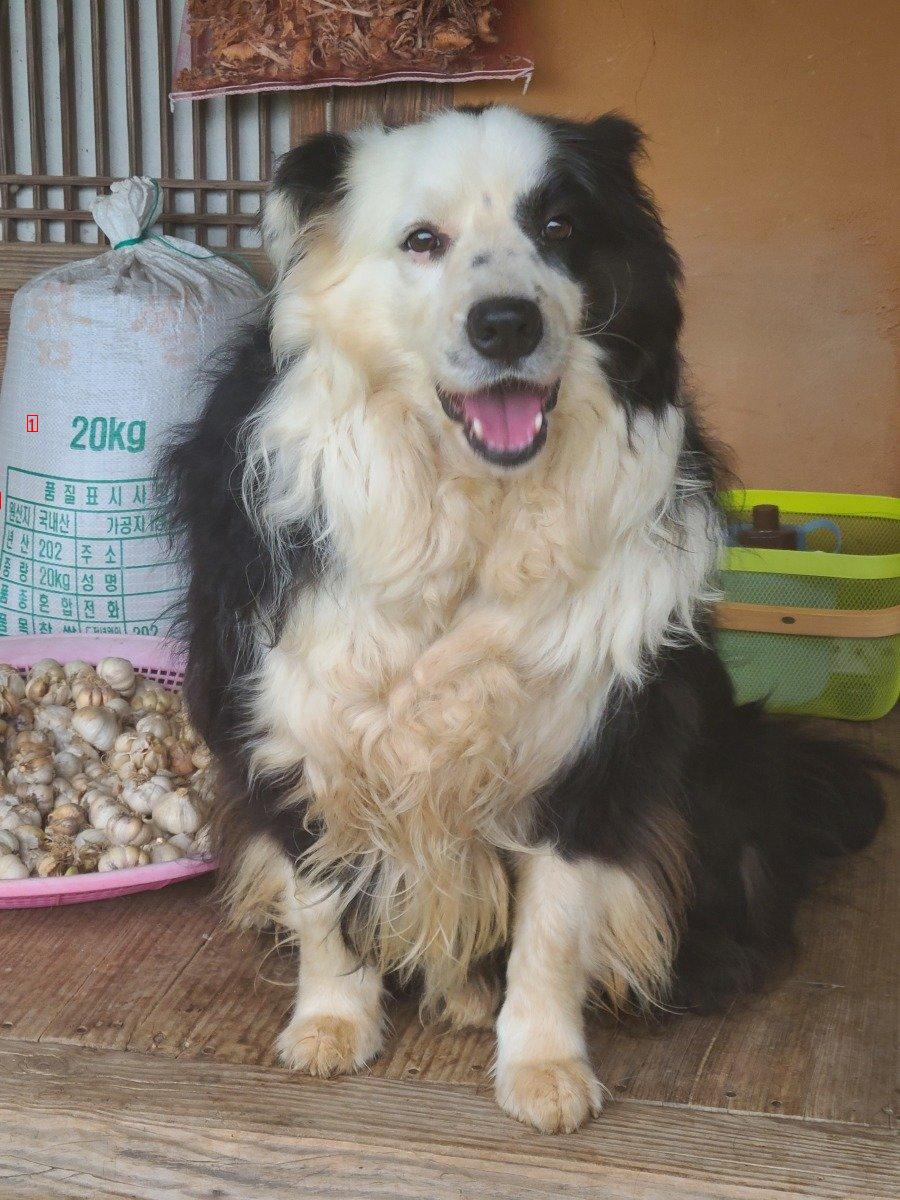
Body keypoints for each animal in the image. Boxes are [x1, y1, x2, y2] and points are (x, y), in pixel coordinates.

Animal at [164, 105, 888, 1132]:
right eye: (422, 241)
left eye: (559, 227)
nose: (506, 323)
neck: (472, 508)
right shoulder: (292, 709)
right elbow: (323, 892)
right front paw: (332, 1024)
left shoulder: (591, 741)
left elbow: (552, 926)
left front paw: (544, 1069)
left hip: (707, 759)